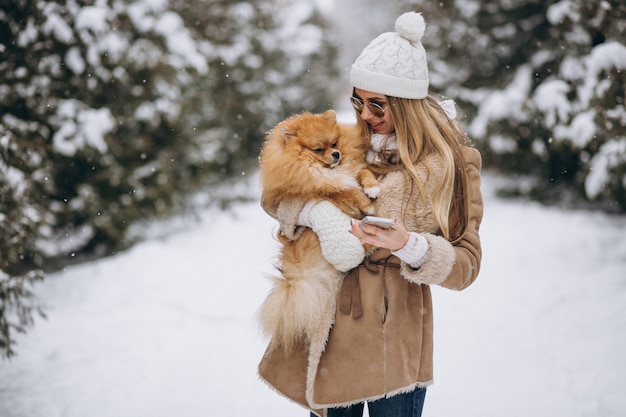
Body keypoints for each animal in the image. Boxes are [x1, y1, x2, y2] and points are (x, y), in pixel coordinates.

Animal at [256, 109, 378, 352]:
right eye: (319, 149)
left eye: (335, 143)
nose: (337, 154)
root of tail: (299, 275)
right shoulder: (319, 190)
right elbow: (343, 192)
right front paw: (365, 203)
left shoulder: (353, 170)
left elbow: (363, 173)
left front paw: (372, 187)